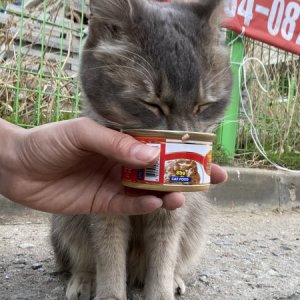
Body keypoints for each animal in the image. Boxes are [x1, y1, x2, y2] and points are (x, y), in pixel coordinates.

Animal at [51, 1, 232, 298]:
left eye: (203, 106)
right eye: (152, 104)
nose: (184, 137)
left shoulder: (173, 209)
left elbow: (164, 259)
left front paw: (162, 290)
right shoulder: (104, 208)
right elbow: (108, 258)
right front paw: (109, 293)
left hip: (196, 219)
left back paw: (174, 278)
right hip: (66, 217)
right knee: (81, 258)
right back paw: (84, 278)